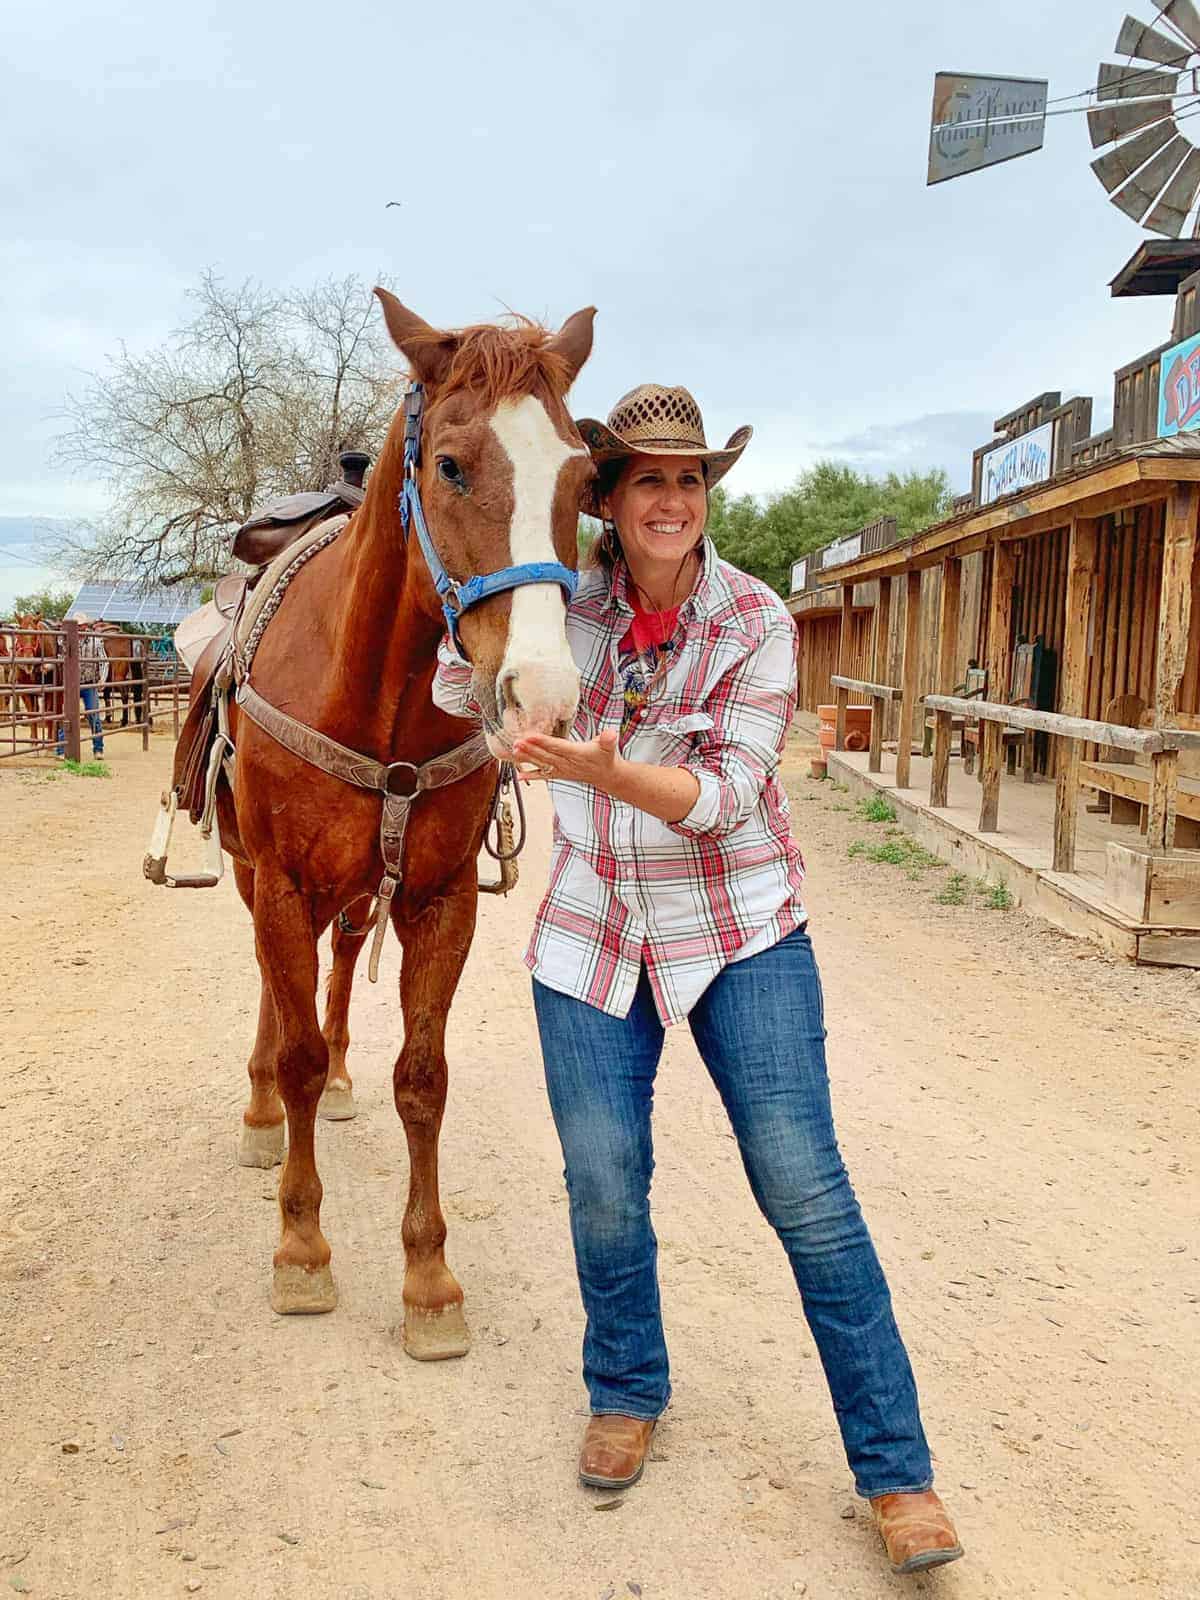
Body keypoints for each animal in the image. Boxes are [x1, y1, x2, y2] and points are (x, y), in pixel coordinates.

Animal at [178, 291, 598, 1350]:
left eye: (583, 475)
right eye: (449, 464)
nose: (541, 694)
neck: (369, 688)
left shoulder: (440, 899)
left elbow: (423, 1077)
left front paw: (430, 1278)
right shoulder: (284, 883)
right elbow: (291, 1048)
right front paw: (301, 1250)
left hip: (362, 890)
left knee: (333, 973)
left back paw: (334, 1084)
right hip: (260, 881)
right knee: (276, 995)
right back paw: (263, 1113)